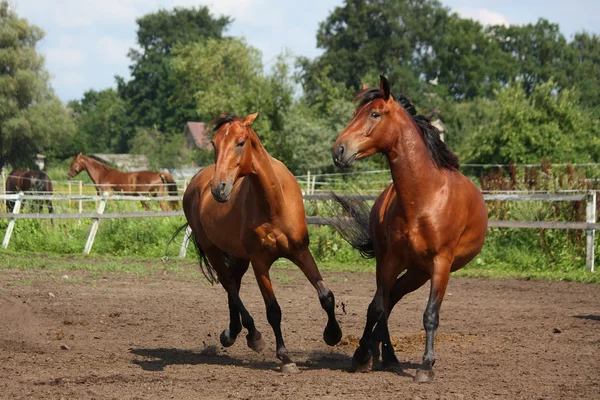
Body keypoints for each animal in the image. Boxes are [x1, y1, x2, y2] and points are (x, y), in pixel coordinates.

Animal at [182, 111, 342, 372]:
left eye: (240, 142)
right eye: (214, 144)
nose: (219, 189)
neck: (274, 202)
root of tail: (196, 181)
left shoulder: (300, 252)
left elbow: (326, 295)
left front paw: (333, 334)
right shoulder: (260, 263)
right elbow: (273, 310)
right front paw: (285, 357)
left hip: (239, 256)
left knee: (234, 282)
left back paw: (233, 332)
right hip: (212, 249)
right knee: (228, 284)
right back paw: (252, 334)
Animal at [330, 76, 490, 382]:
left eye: (374, 114)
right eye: (356, 112)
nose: (339, 150)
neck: (424, 197)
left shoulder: (441, 264)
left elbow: (430, 315)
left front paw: (426, 366)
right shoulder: (391, 259)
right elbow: (376, 307)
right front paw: (361, 355)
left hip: (419, 273)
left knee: (393, 299)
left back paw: (386, 354)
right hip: (398, 266)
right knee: (385, 302)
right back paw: (382, 354)